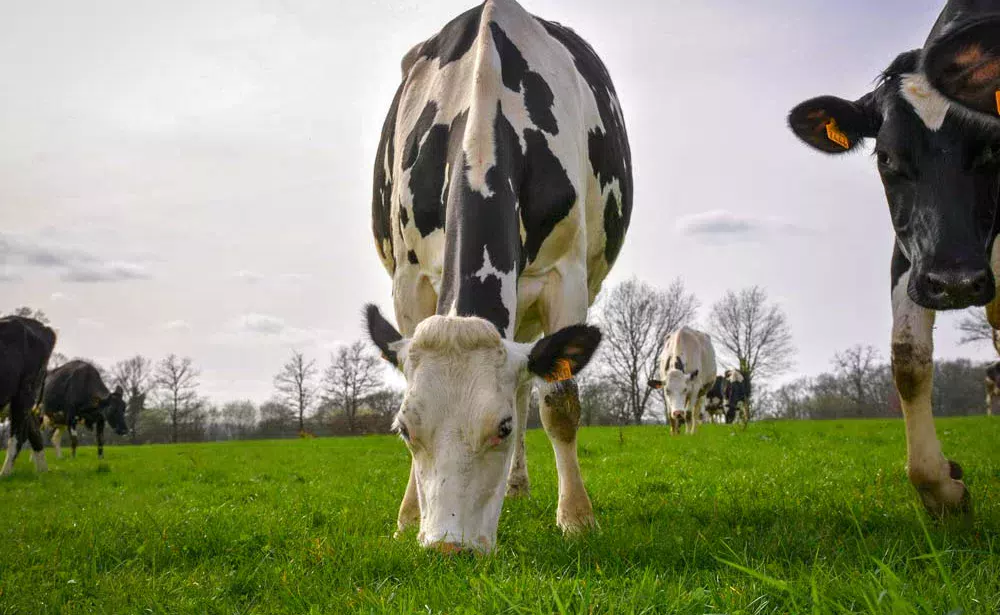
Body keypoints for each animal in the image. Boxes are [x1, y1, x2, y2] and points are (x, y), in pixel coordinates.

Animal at [368, 0, 632, 552]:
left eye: (503, 429)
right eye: (404, 430)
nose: (447, 547)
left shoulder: (564, 276)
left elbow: (558, 403)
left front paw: (577, 518)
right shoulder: (409, 282)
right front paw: (407, 517)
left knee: (530, 385)